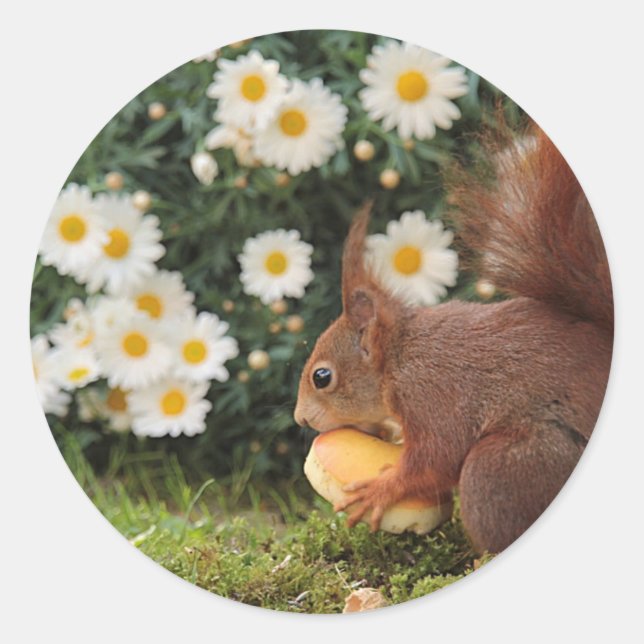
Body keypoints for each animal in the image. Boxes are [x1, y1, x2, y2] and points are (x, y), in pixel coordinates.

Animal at [293, 123, 613, 554]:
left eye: (322, 377)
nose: (300, 418)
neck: (400, 358)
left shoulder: (433, 394)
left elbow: (436, 458)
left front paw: (380, 490)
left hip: (503, 470)